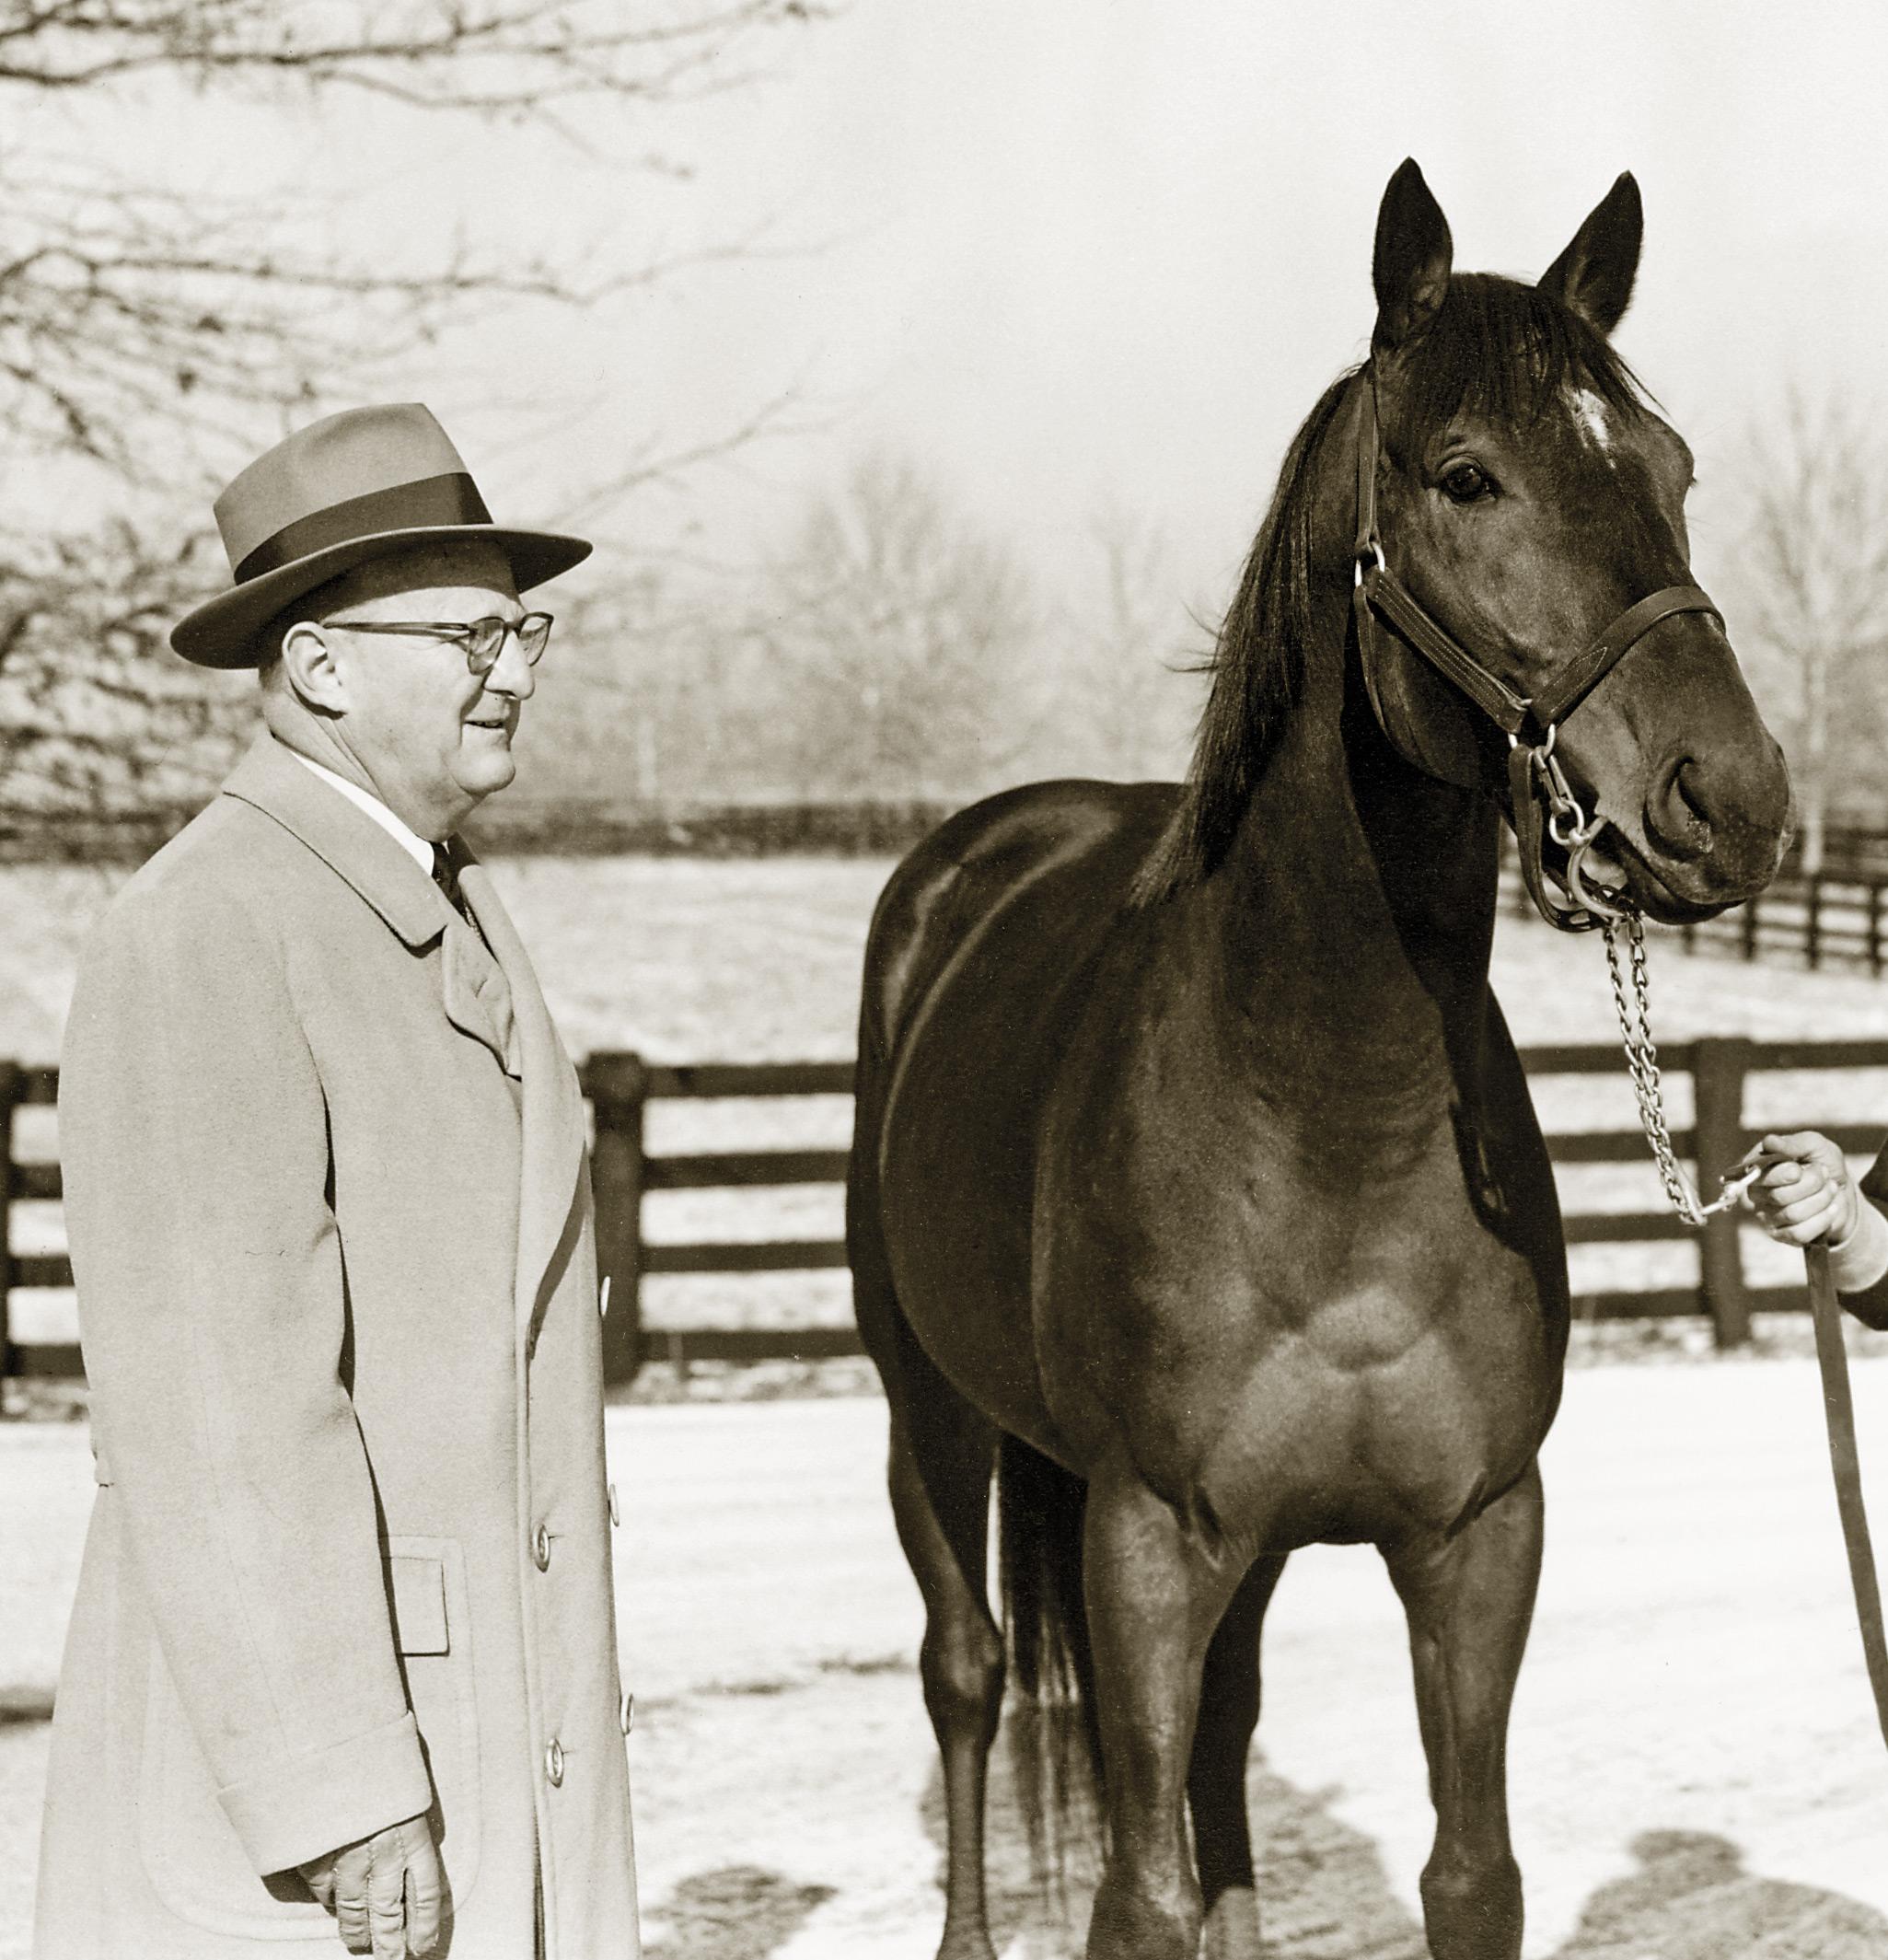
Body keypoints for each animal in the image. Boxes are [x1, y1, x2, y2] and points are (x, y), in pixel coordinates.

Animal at [847, 160, 1793, 1960]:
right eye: (1466, 475)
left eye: (1670, 470)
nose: (1732, 800)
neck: (1322, 1110)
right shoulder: (1147, 1541)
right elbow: (1137, 1891)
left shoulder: (1477, 1537)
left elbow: (1466, 1873)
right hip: (925, 1402)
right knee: (968, 1677)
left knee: (1219, 1724)